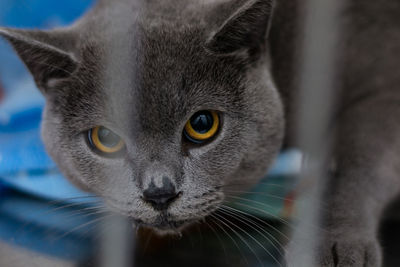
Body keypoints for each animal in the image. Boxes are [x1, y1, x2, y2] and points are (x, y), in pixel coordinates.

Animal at [0, 0, 400, 266]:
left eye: (203, 125)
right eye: (106, 138)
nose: (159, 192)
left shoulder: (382, 89)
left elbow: (353, 165)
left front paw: (329, 246)